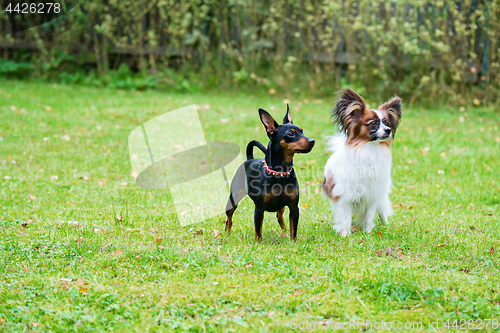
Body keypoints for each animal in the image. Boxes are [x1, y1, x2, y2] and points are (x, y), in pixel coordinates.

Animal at [225, 104, 314, 239]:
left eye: (302, 131)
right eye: (291, 134)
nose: (312, 141)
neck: (281, 173)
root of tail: (249, 159)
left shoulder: (294, 208)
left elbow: (293, 231)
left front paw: (292, 242)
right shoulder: (259, 209)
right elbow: (258, 231)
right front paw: (258, 243)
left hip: (281, 207)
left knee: (279, 216)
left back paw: (284, 231)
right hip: (233, 199)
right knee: (229, 218)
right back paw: (227, 234)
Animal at [324, 88, 402, 236]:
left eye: (387, 123)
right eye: (373, 123)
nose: (388, 130)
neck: (370, 149)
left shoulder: (373, 195)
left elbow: (370, 215)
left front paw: (368, 232)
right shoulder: (344, 196)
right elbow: (346, 217)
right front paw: (345, 234)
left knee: (382, 209)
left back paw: (386, 225)